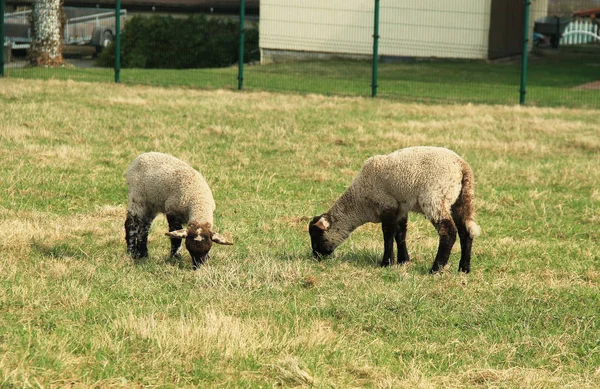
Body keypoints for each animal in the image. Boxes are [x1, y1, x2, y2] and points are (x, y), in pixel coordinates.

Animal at [310, 146, 482, 272]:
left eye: (317, 236)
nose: (315, 257)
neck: (359, 201)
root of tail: (462, 166)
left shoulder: (386, 204)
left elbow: (387, 234)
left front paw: (386, 262)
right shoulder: (400, 207)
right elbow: (400, 234)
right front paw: (403, 260)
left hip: (435, 198)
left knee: (448, 231)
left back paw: (435, 269)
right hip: (460, 201)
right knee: (466, 232)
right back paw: (464, 269)